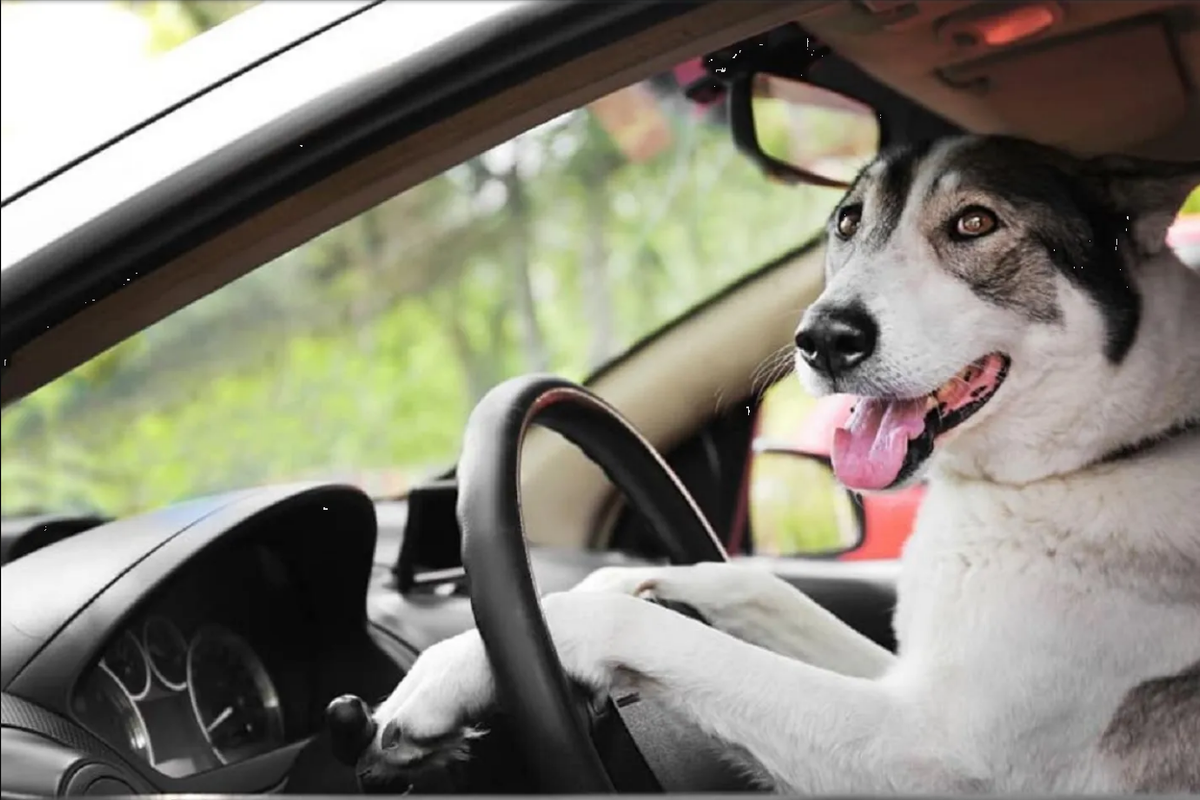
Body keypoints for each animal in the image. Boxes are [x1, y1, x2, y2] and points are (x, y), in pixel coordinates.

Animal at [357, 137, 1200, 796]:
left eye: (975, 222)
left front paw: (459, 667)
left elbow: (632, 627)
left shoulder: (923, 748)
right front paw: (599, 584)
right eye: (848, 221)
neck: (1093, 457)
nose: (823, 338)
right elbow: (749, 583)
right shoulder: (897, 681)